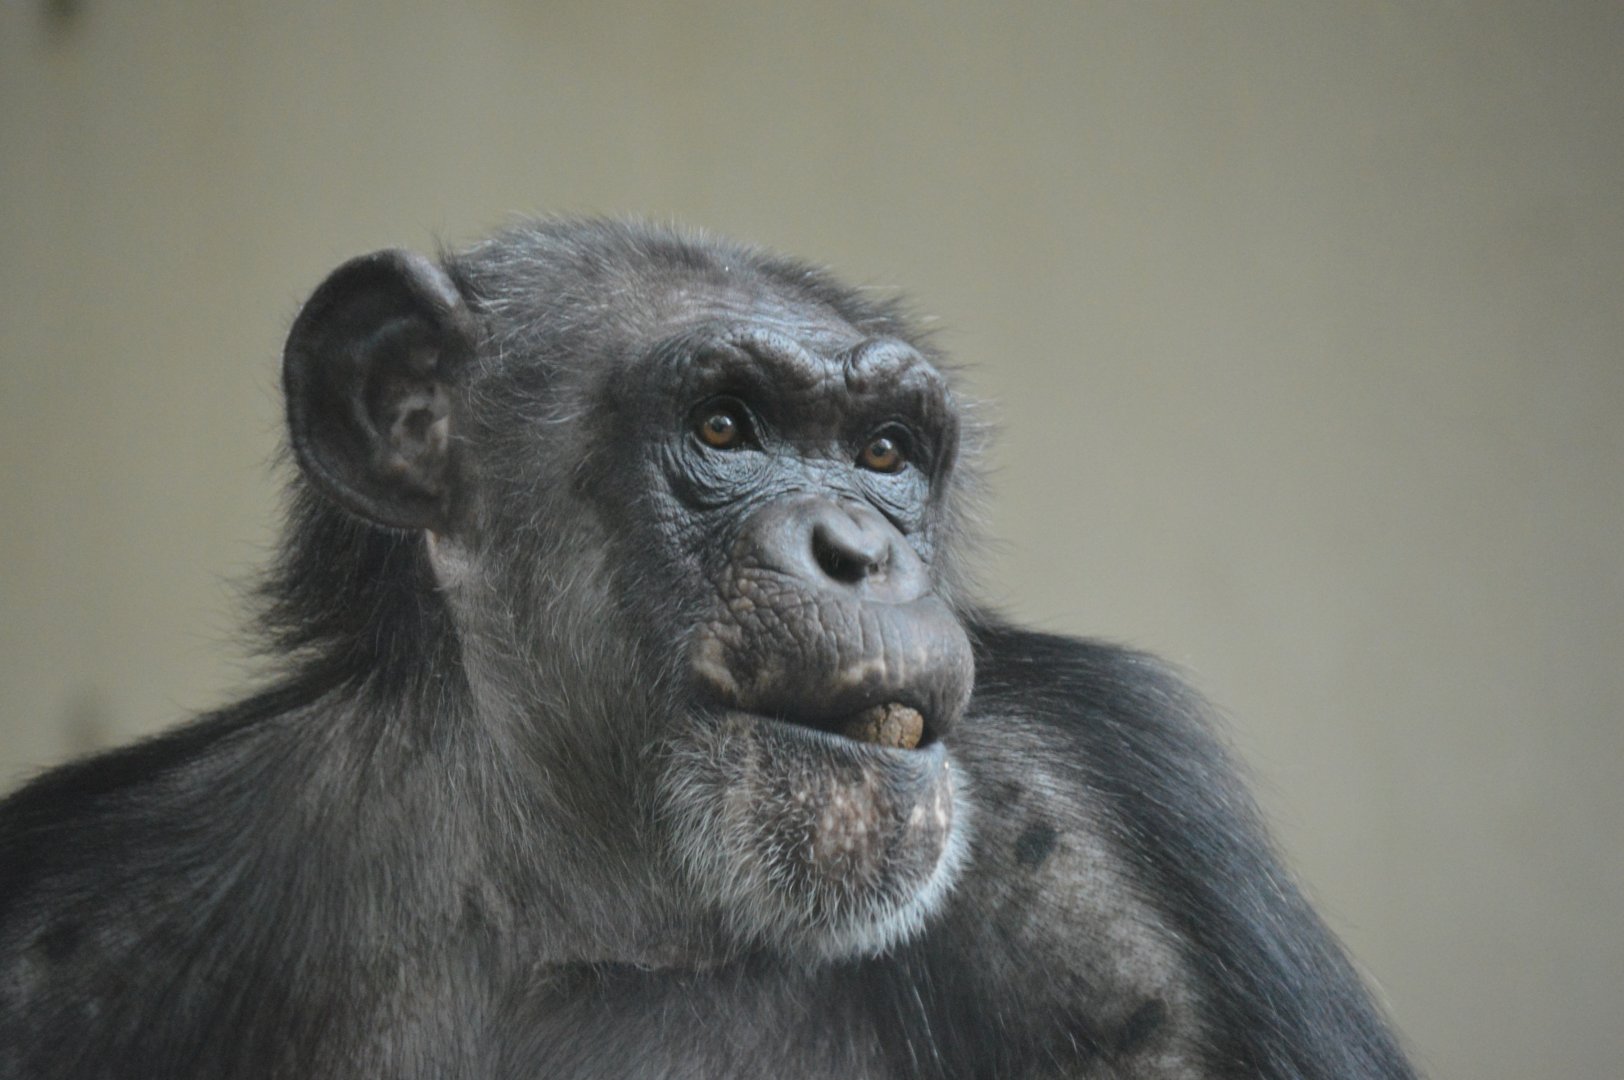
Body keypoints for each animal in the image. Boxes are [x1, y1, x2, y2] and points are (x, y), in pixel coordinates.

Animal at [0, 218, 1417, 1078]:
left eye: (884, 454)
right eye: (726, 426)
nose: (859, 548)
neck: (587, 900)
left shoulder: (1113, 854)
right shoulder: (76, 917)